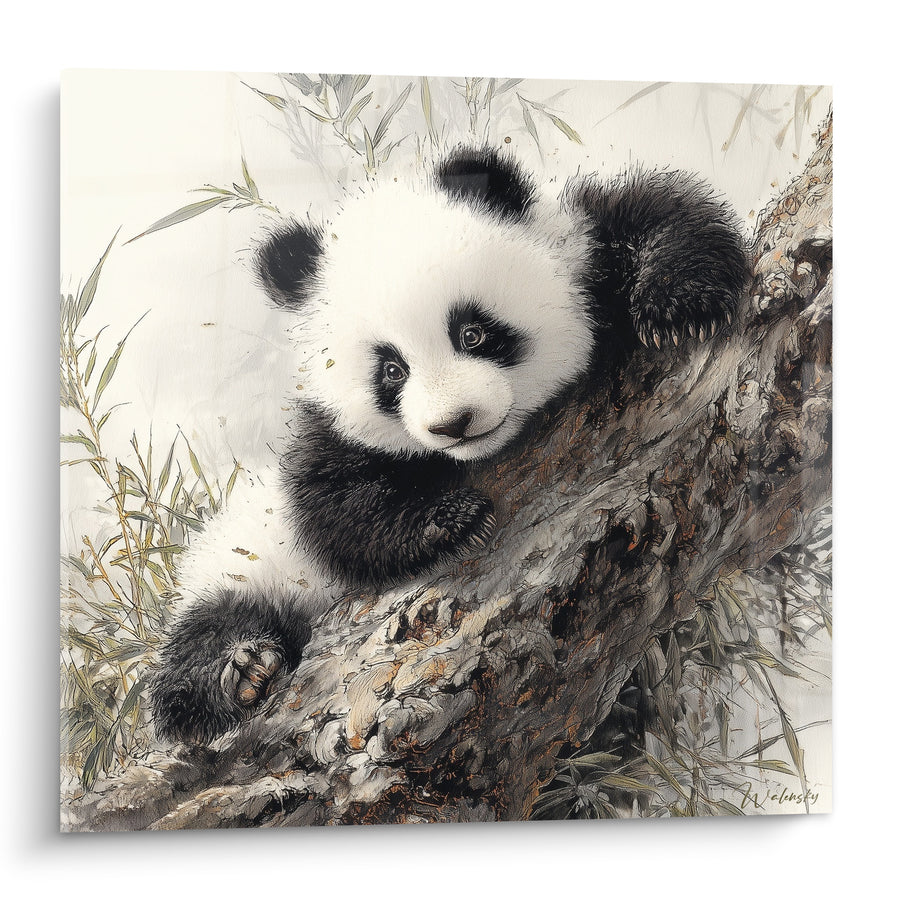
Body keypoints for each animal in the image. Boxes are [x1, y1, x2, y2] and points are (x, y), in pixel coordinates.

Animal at [149, 146, 749, 744]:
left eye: (473, 333)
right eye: (392, 370)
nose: (454, 423)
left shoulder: (581, 246)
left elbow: (662, 214)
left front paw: (679, 304)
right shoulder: (328, 436)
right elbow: (332, 506)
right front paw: (452, 518)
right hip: (249, 567)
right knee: (204, 637)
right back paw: (240, 672)